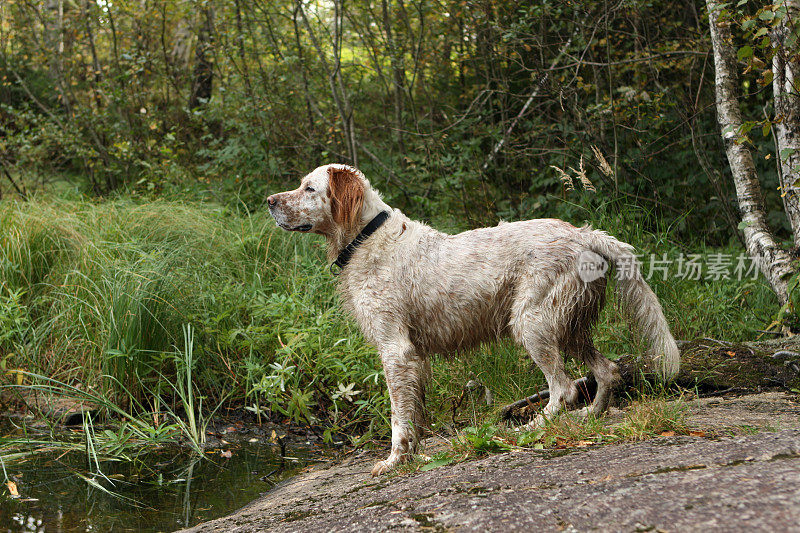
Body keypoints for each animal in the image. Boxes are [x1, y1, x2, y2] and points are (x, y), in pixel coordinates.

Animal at [266, 164, 680, 476]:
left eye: (309, 188)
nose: (269, 201)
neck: (367, 237)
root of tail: (585, 234)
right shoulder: (416, 357)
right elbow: (415, 414)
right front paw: (414, 455)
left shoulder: (395, 350)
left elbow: (398, 418)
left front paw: (393, 460)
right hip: (571, 327)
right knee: (607, 371)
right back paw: (589, 418)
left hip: (532, 323)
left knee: (564, 388)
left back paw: (533, 428)